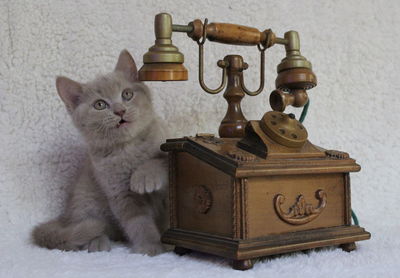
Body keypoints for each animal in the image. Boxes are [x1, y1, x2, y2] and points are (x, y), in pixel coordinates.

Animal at [32, 50, 168, 256]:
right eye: (100, 105)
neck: (128, 147)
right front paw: (150, 247)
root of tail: (65, 217)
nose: (120, 110)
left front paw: (144, 176)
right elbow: (138, 222)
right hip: (86, 199)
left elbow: (160, 161)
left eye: (127, 94)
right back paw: (96, 242)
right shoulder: (120, 193)